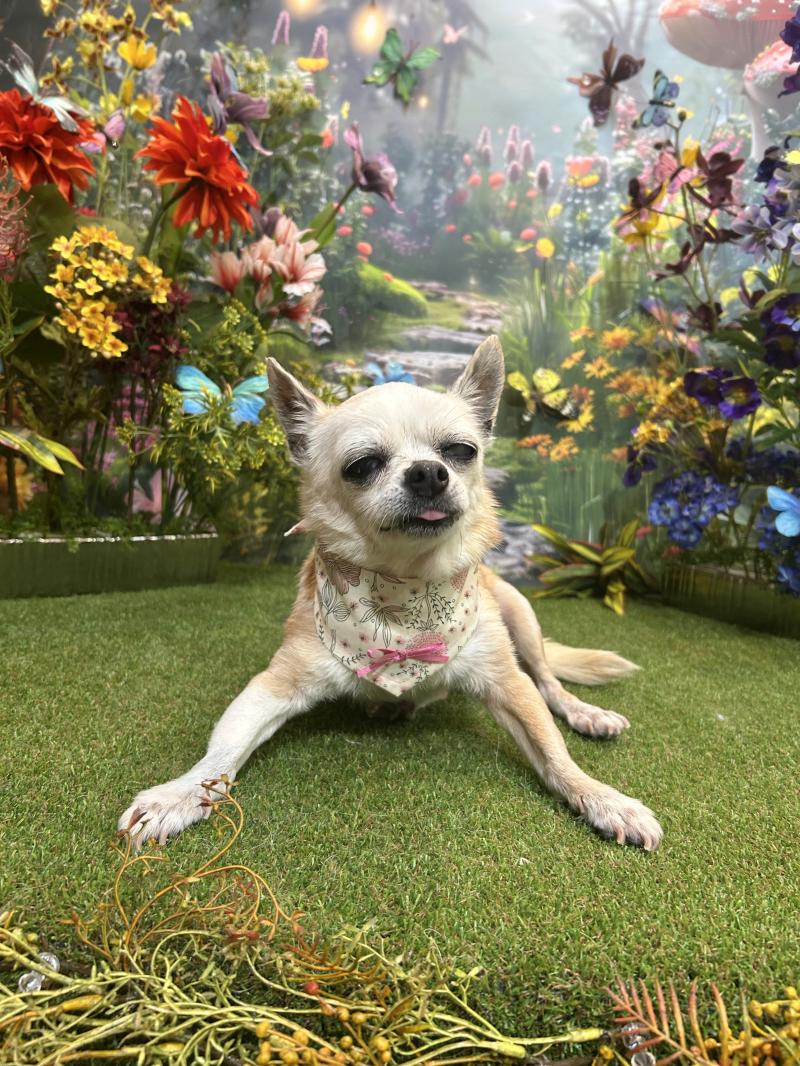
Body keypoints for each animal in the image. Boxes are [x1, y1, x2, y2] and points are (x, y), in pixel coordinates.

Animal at [118, 337, 663, 851]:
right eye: (362, 466)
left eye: (461, 452)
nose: (428, 472)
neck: (404, 598)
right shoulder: (273, 686)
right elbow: (222, 751)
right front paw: (179, 794)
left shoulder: (507, 684)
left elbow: (553, 751)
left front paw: (601, 797)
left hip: (520, 614)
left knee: (547, 680)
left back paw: (584, 713)